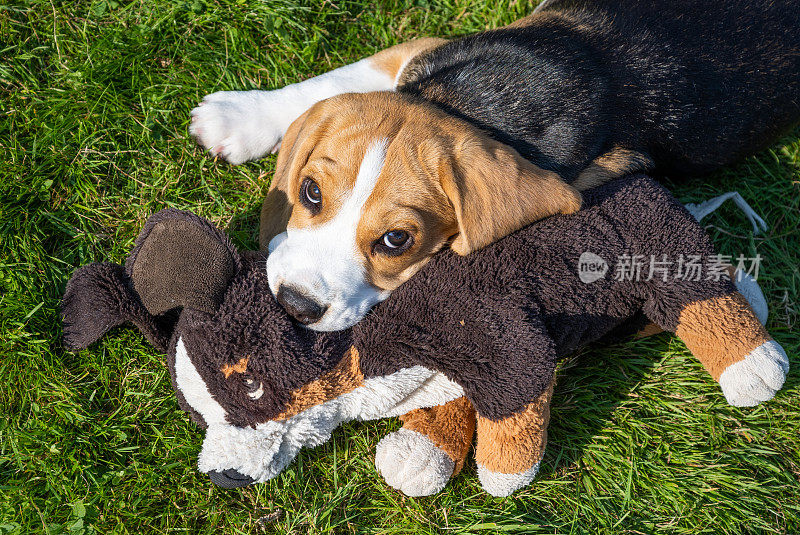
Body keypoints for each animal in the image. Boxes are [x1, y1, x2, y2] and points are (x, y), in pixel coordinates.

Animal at [189, 0, 800, 330]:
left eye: (396, 241)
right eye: (311, 192)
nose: (294, 304)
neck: (476, 109)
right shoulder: (423, 52)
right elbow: (331, 84)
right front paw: (237, 117)